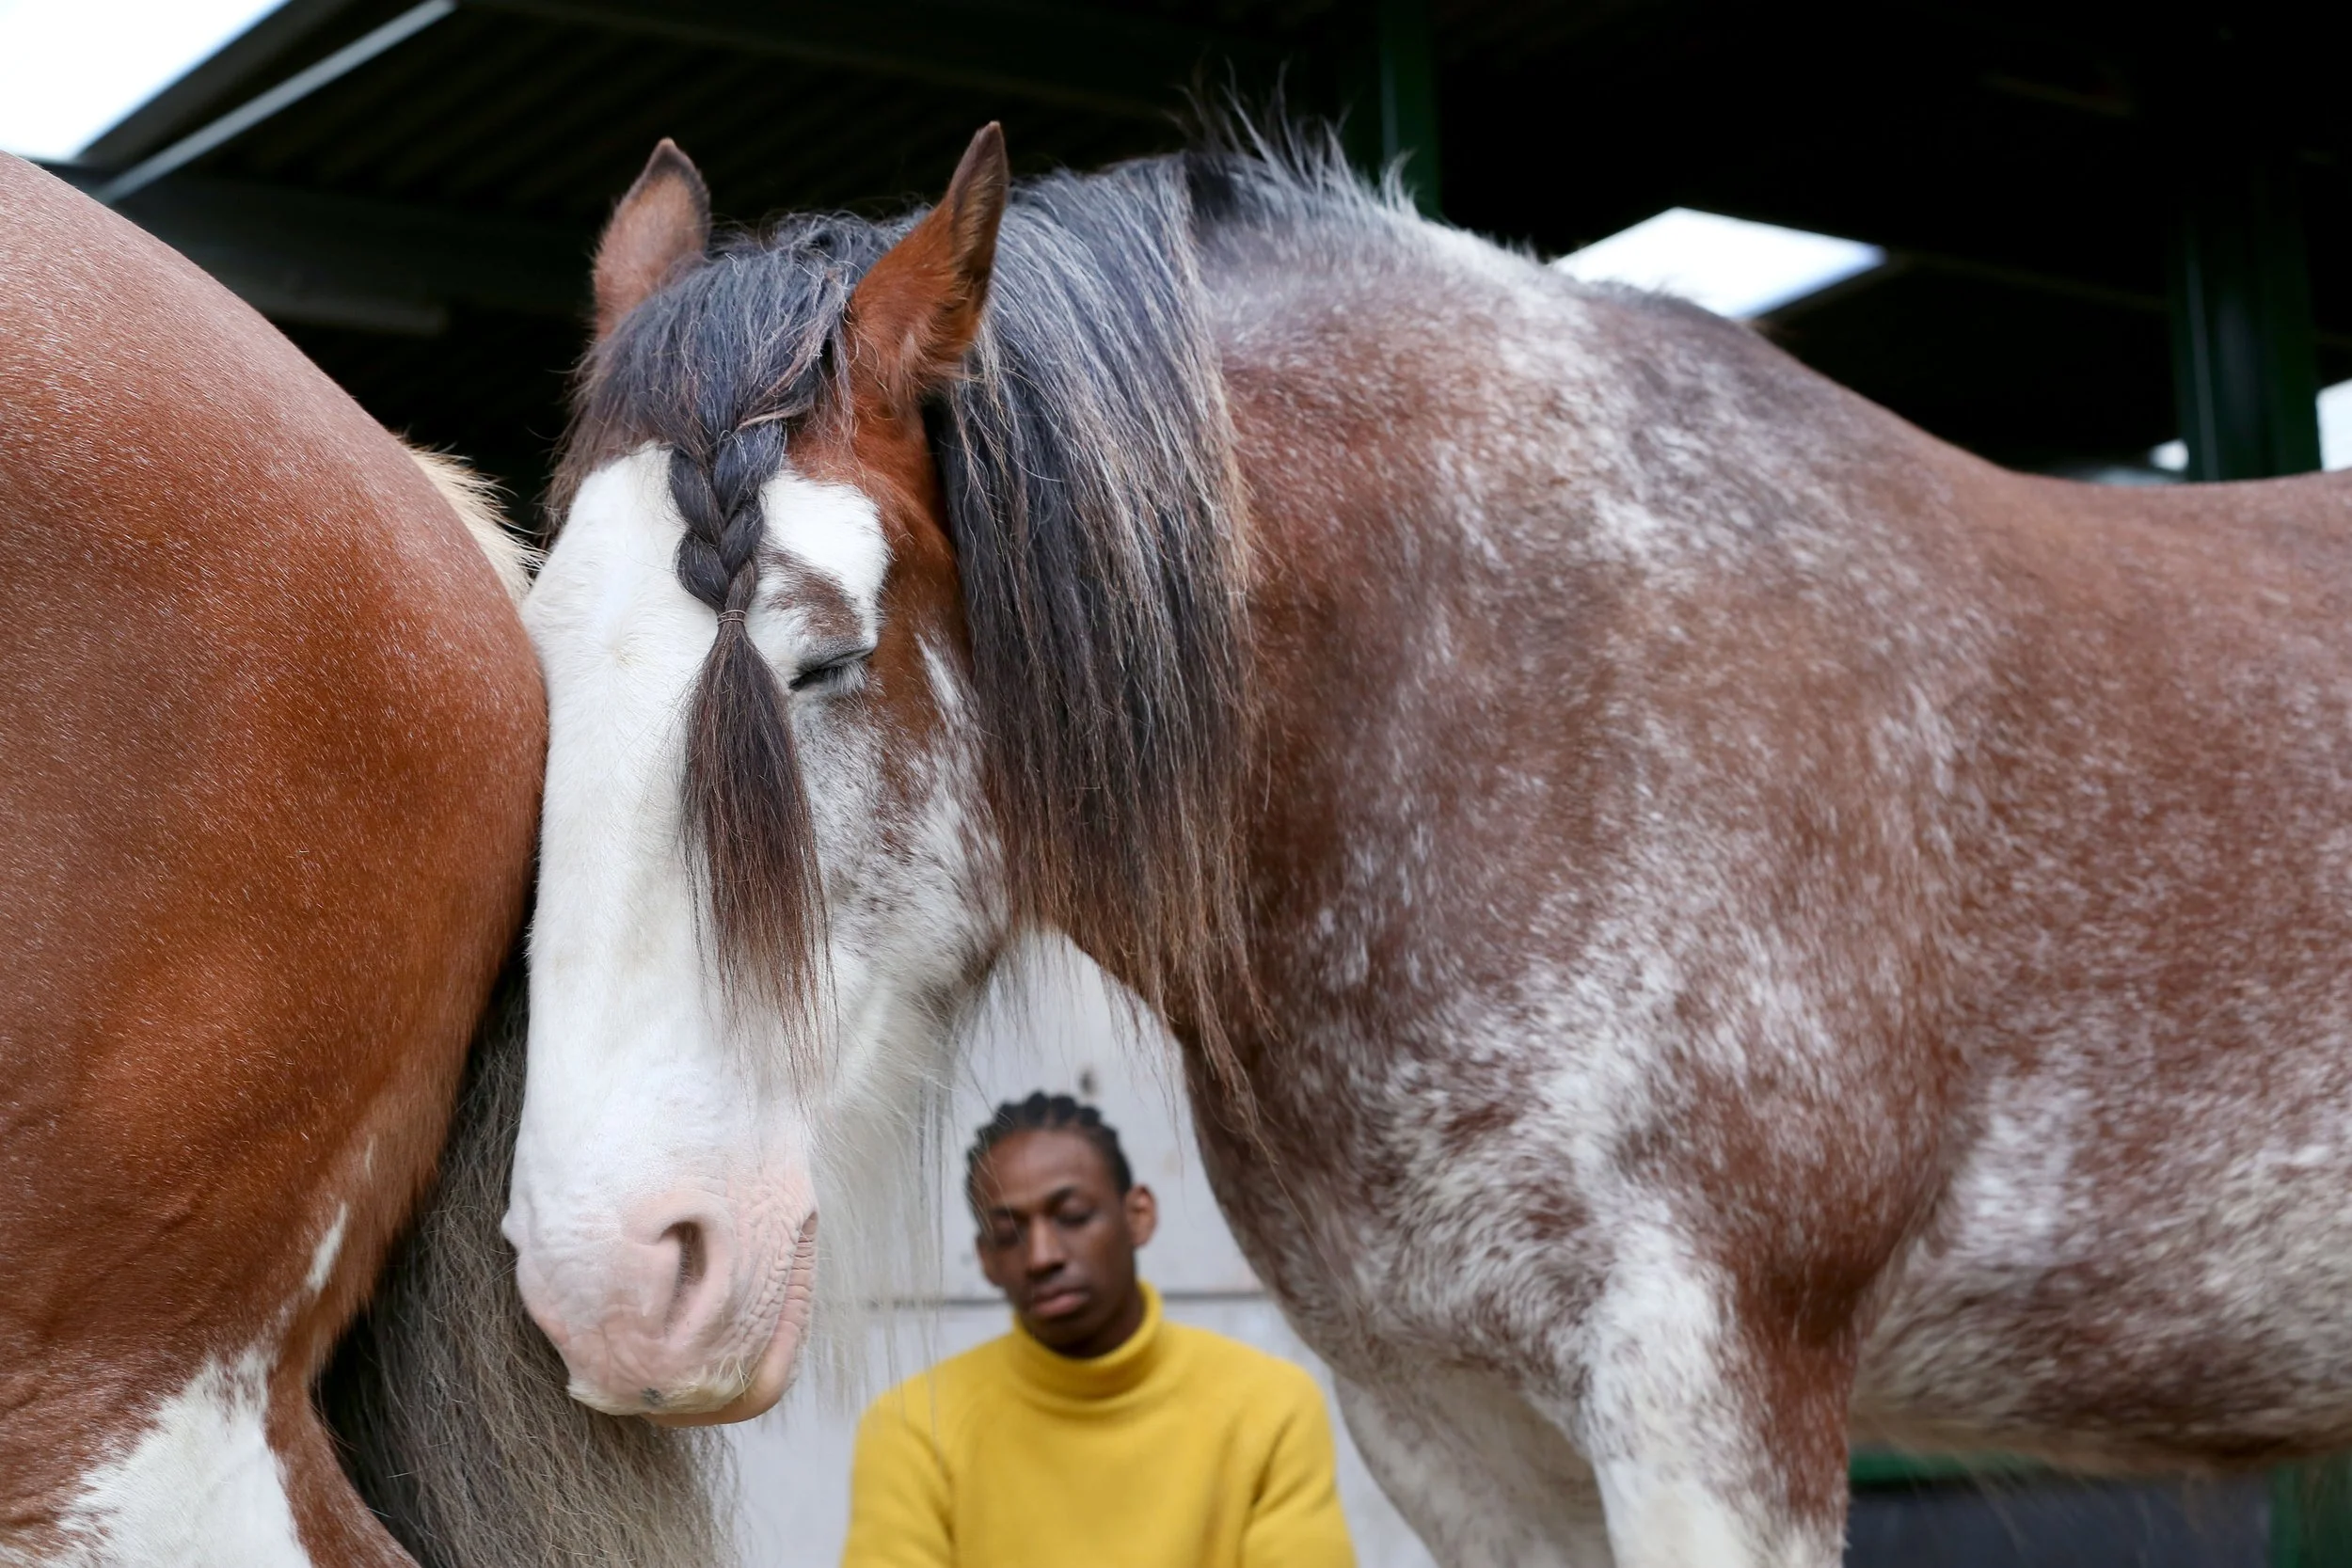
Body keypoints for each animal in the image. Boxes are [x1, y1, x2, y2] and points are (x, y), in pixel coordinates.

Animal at [510, 120, 2352, 1564]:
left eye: (819, 659)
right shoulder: (1455, 1434)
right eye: (537, 660)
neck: (1508, 696)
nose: (609, 1280)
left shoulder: (1715, 1405)